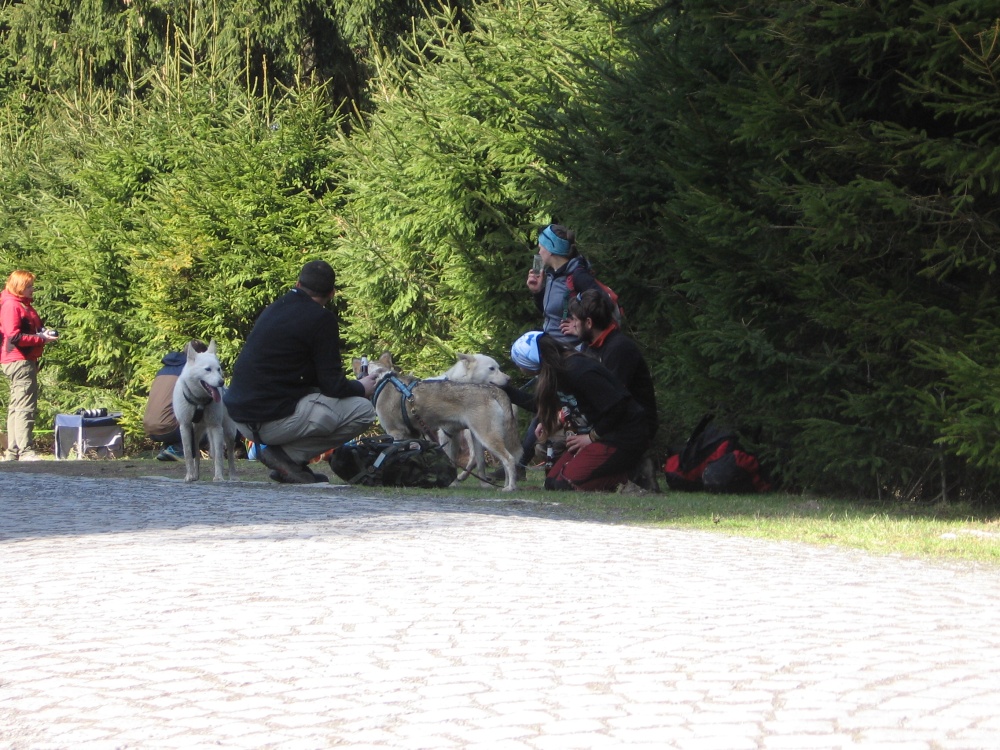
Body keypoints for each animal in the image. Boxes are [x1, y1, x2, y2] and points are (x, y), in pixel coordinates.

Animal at [172, 340, 236, 482]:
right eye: (207, 369)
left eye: (218, 369)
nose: (221, 382)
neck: (199, 401)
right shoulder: (185, 427)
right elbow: (188, 455)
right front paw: (189, 476)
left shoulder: (216, 427)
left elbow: (219, 457)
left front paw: (219, 477)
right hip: (196, 435)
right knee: (196, 454)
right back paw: (196, 475)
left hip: (228, 432)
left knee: (230, 454)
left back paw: (233, 477)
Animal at [354, 354, 524, 494]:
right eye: (492, 368)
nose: (508, 379)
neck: (382, 380)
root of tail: (492, 390)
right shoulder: (414, 434)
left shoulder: (396, 433)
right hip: (479, 438)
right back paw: (503, 485)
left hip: (487, 437)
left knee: (509, 459)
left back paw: (510, 487)